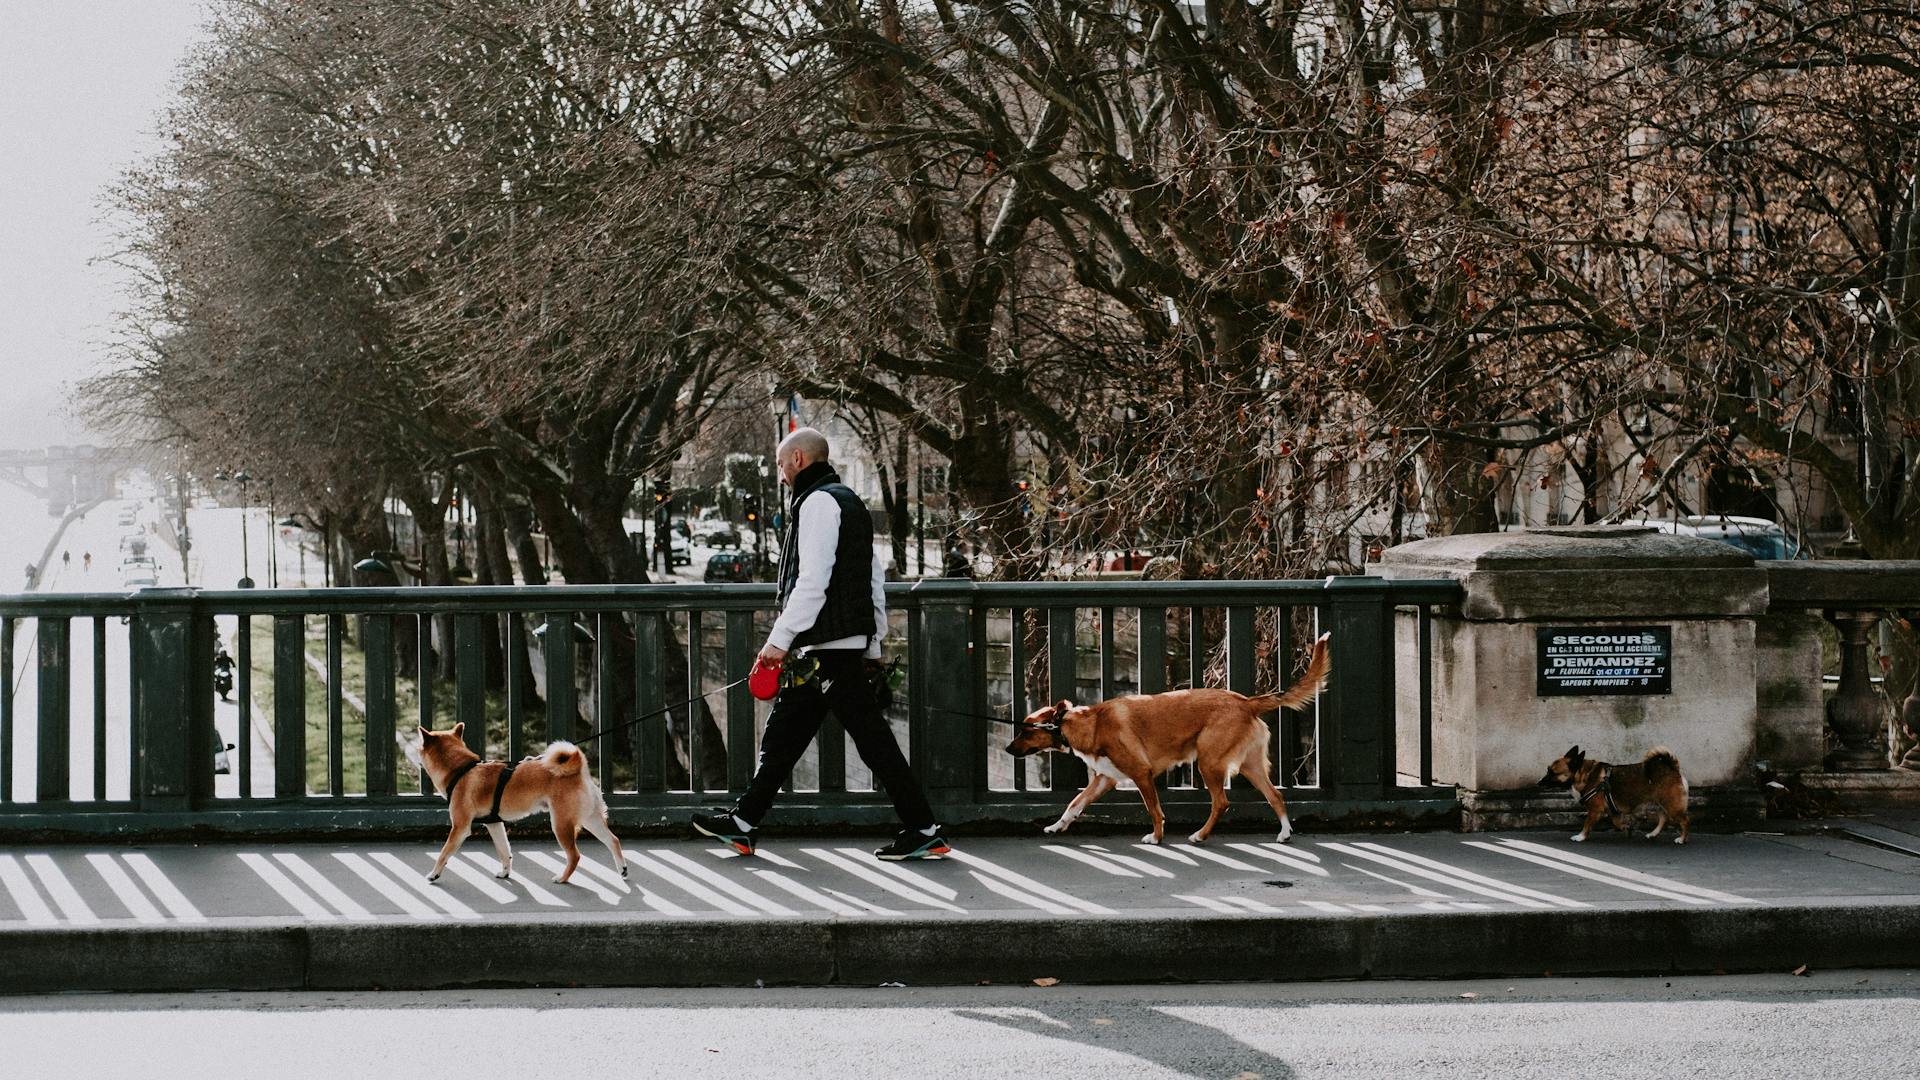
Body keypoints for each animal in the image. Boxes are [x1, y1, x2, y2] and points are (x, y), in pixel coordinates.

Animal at [416, 722, 625, 883]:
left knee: (575, 856)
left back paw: (562, 878)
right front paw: (505, 872)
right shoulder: (494, 824)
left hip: (561, 824)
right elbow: (504, 851)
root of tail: (579, 769)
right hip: (590, 819)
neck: (461, 770)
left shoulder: (459, 828)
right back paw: (622, 869)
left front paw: (434, 874)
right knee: (613, 840)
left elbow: (444, 853)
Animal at [1006, 630, 1336, 841]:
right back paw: (1284, 833)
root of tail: (1246, 701)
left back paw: (1200, 836)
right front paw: (1056, 827)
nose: (1008, 749)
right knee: (1275, 795)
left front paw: (1156, 837)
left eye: (1025, 729)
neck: (1092, 723)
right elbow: (1074, 805)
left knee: (1221, 802)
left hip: (1208, 763)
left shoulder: (1141, 774)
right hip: (1250, 766)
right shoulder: (1104, 779)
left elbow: (1154, 809)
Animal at [1536, 737, 1689, 841]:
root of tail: (1673, 768)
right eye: (1548, 769)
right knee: (1663, 818)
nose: (1538, 783)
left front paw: (1580, 836)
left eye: (1552, 773)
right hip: (1659, 804)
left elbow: (1587, 824)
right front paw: (1626, 829)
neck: (1582, 774)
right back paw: (1653, 834)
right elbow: (1616, 822)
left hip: (1671, 805)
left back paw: (1682, 839)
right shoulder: (1612, 811)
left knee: (1684, 820)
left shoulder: (1595, 811)